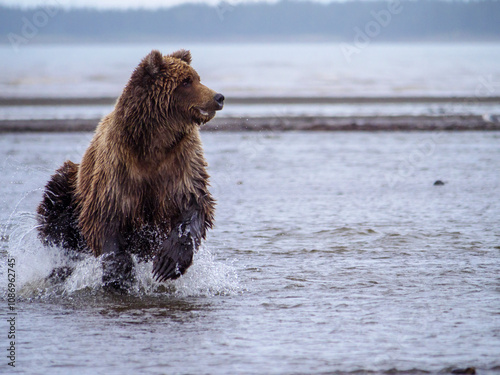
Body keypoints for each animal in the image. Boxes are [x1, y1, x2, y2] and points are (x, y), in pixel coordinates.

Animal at [38, 49, 226, 290]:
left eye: (196, 77)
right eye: (186, 81)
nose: (218, 97)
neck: (154, 143)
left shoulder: (181, 162)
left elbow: (194, 204)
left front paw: (167, 263)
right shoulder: (118, 168)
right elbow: (106, 215)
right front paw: (120, 273)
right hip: (71, 189)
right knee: (57, 218)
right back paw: (58, 268)